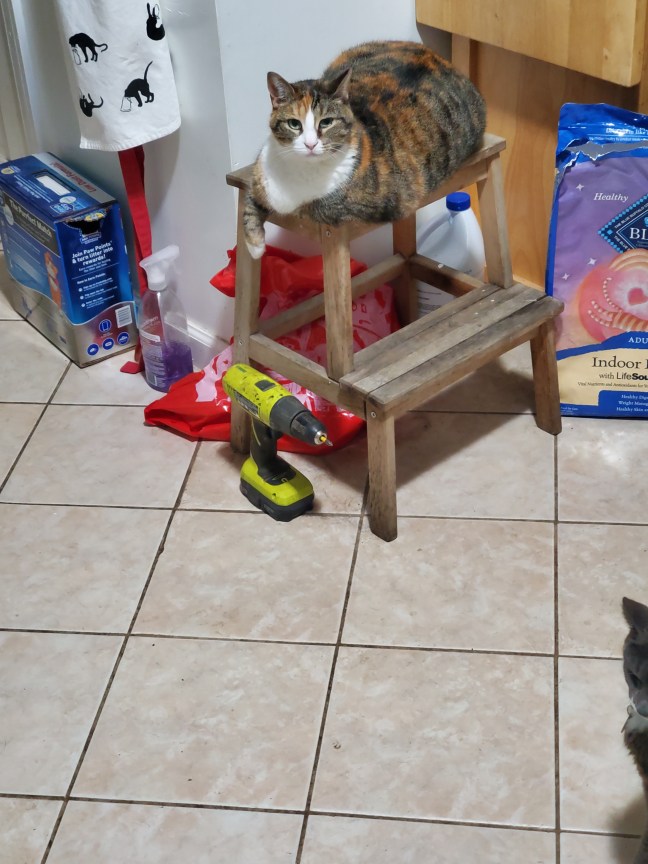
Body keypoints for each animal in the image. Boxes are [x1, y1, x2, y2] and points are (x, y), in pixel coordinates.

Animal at [243, 40, 486, 260]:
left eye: (326, 122)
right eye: (294, 124)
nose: (310, 144)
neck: (300, 170)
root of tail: (436, 56)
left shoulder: (384, 200)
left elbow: (316, 207)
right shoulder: (260, 172)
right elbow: (249, 200)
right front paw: (255, 247)